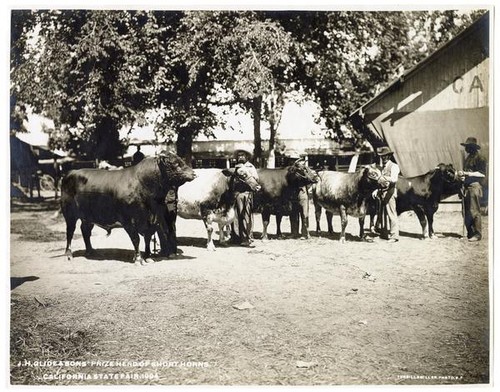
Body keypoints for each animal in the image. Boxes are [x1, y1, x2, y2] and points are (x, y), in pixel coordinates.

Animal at [60, 152, 195, 264]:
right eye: (175, 163)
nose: (194, 173)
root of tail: (71, 172)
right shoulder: (128, 220)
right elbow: (136, 239)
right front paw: (139, 258)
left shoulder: (152, 220)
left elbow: (147, 238)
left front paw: (148, 256)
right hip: (69, 214)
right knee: (70, 232)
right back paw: (68, 254)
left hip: (88, 216)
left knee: (85, 230)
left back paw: (90, 251)